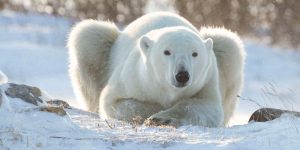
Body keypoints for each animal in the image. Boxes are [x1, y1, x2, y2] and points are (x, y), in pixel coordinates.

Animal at [68, 12, 246, 127]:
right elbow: (115, 102)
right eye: (167, 52)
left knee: (229, 45)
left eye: (195, 53)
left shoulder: (206, 81)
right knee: (88, 35)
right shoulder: (133, 78)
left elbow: (206, 107)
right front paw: (155, 113)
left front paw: (163, 118)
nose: (182, 75)